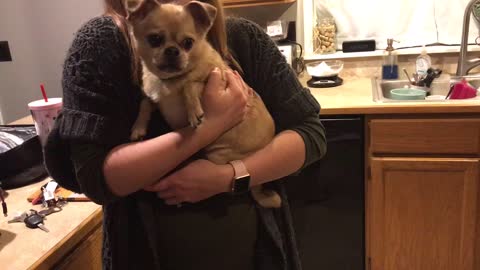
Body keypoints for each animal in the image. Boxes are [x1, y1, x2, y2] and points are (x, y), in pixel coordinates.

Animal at [127, 0, 282, 208]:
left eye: (188, 43)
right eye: (154, 39)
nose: (172, 50)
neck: (171, 80)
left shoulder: (214, 79)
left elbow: (190, 85)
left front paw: (194, 112)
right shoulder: (153, 97)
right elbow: (145, 103)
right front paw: (138, 128)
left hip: (217, 155)